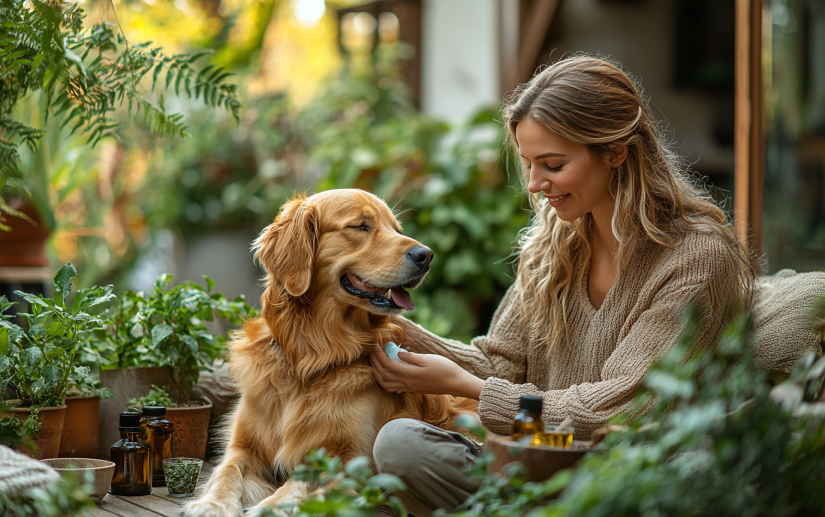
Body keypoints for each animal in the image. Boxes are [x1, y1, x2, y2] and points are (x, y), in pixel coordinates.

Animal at [183, 189, 474, 516]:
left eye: (396, 229)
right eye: (360, 226)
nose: (426, 255)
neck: (312, 356)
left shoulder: (354, 460)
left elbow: (301, 483)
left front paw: (271, 507)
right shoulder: (243, 445)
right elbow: (226, 469)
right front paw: (212, 504)